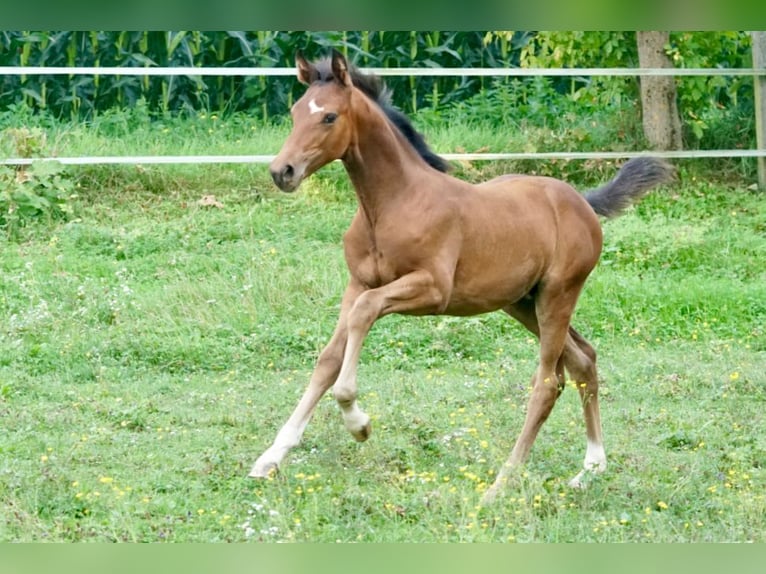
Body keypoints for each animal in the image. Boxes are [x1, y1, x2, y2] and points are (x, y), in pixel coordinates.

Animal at [249, 49, 675, 501]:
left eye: (329, 116)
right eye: (295, 112)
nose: (282, 171)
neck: (392, 204)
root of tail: (581, 201)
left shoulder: (432, 289)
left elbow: (364, 315)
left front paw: (358, 422)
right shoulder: (358, 282)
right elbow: (329, 358)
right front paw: (271, 457)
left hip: (559, 294)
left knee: (547, 381)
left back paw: (502, 483)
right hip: (522, 302)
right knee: (583, 360)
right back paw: (592, 466)